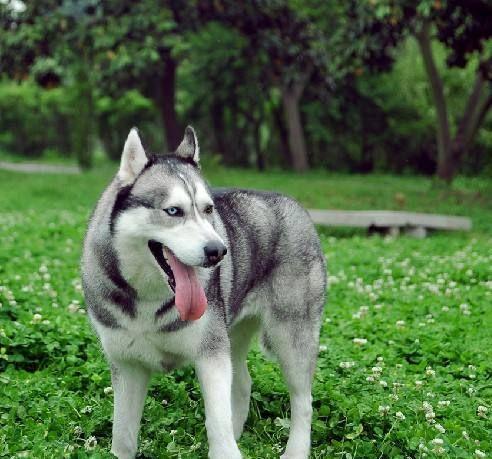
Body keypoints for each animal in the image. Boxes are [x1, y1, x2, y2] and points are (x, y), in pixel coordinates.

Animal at [81, 126, 326, 459]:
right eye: (173, 211)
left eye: (208, 209)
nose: (218, 251)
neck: (148, 299)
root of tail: (294, 205)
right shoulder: (128, 365)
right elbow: (123, 437)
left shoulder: (211, 357)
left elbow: (218, 427)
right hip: (232, 334)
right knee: (243, 383)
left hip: (291, 337)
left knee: (303, 401)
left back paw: (295, 450)